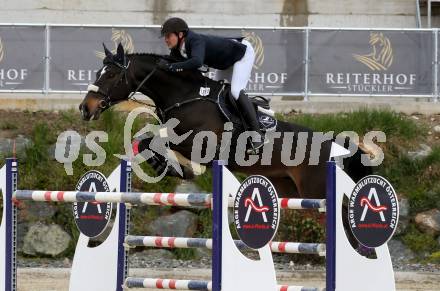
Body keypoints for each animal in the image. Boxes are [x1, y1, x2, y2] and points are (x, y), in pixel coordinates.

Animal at [80, 44, 372, 203]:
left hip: (316, 190)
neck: (185, 96)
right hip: (288, 187)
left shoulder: (199, 145)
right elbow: (144, 141)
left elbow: (156, 140)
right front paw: (166, 166)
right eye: (98, 72)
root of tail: (336, 145)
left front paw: (174, 168)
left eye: (112, 74)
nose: (86, 108)